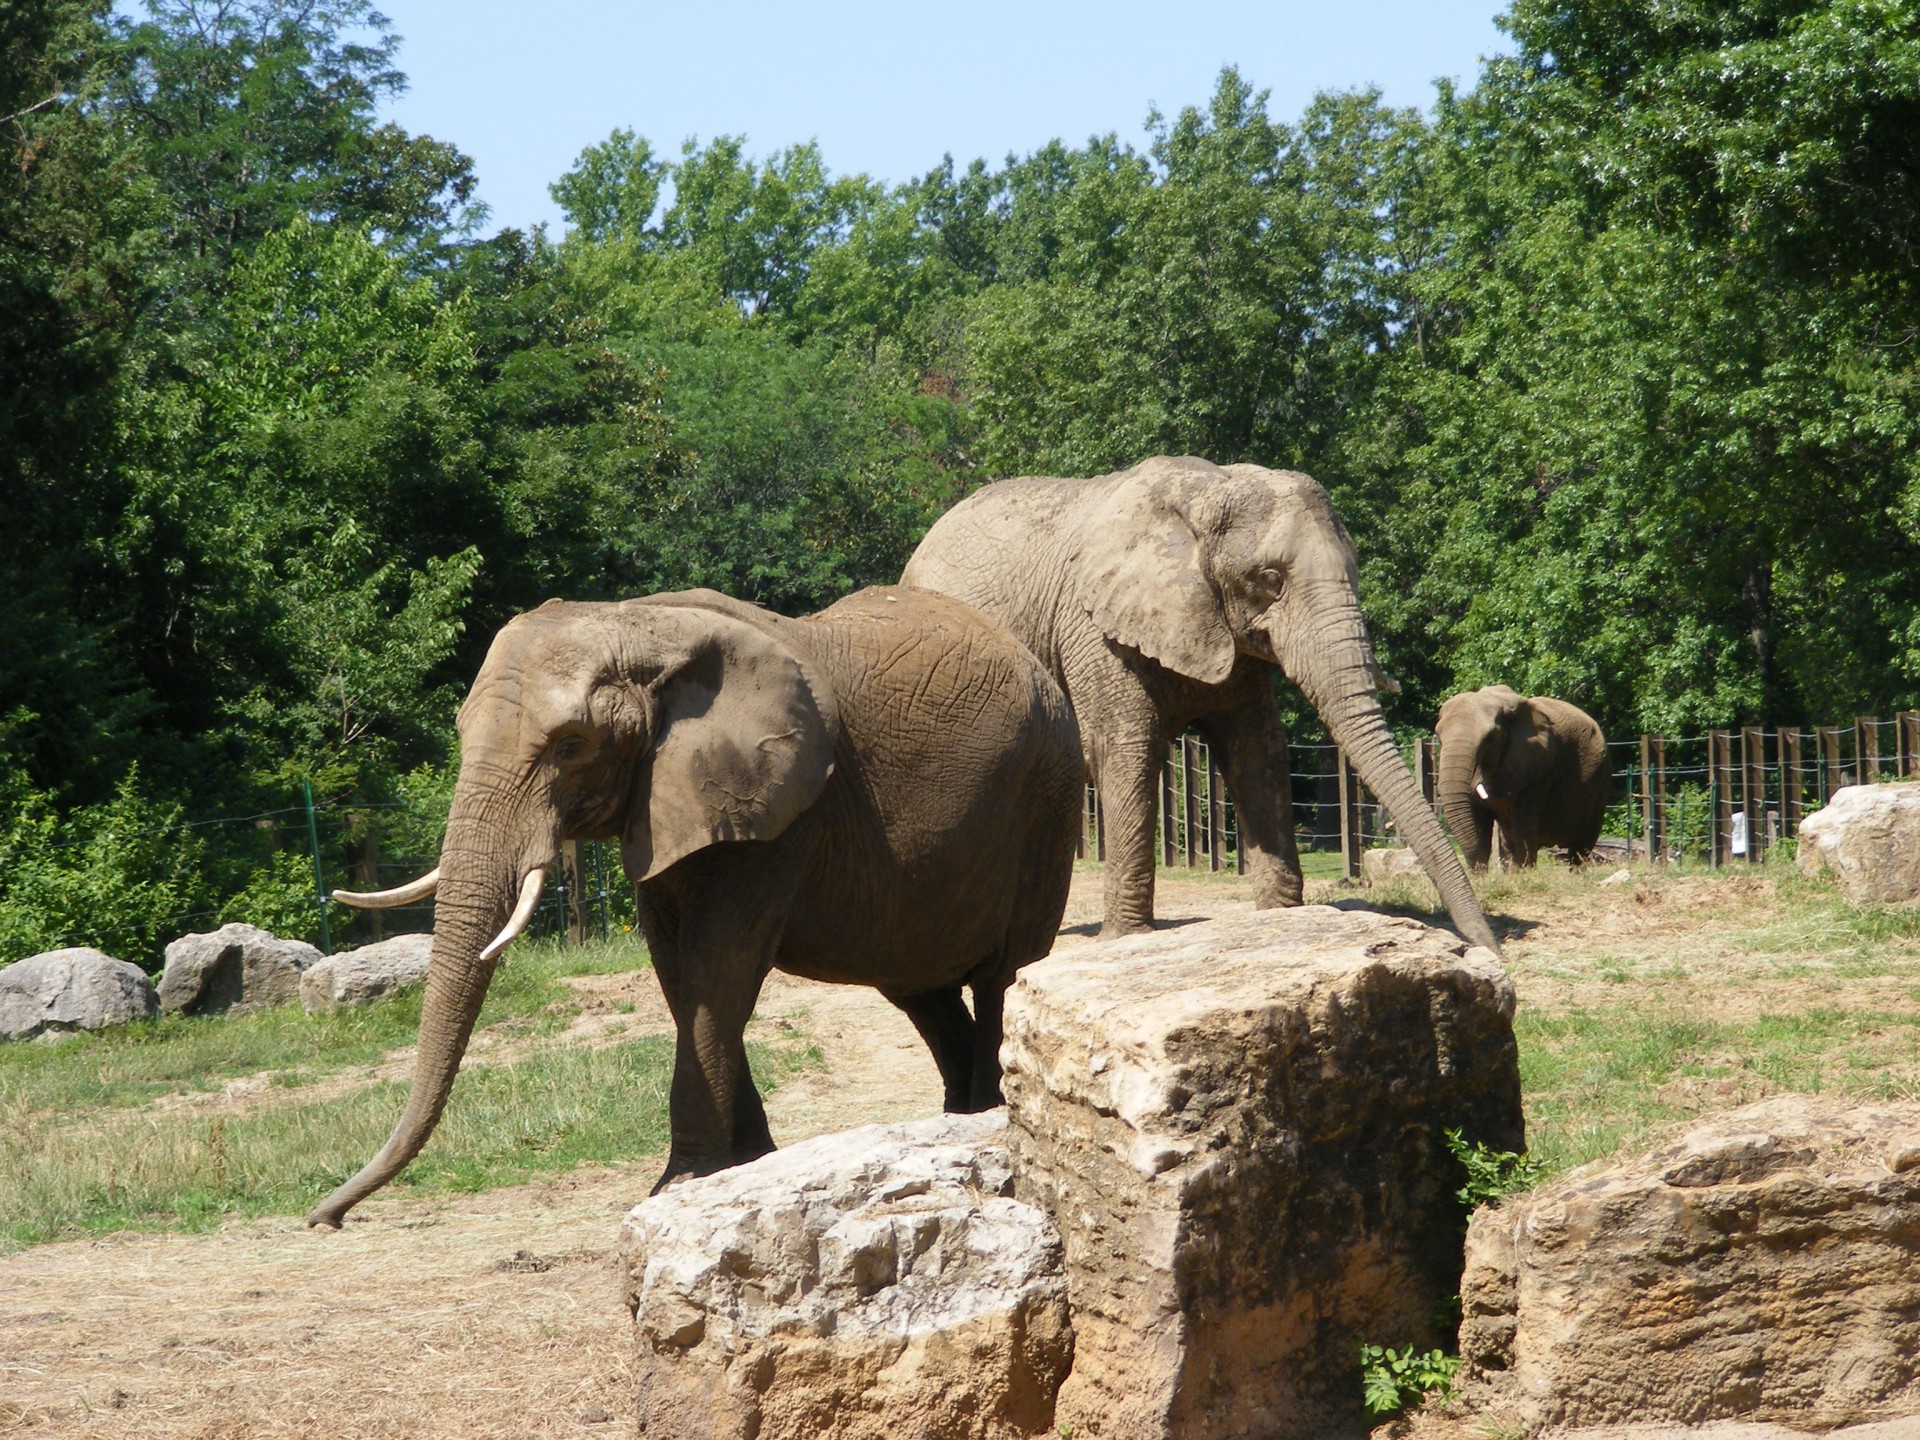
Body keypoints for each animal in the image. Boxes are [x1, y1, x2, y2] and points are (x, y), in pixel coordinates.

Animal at [318, 587, 1098, 1228]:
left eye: (571, 746)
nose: (326, 1217)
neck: (640, 623)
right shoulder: (668, 801)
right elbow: (678, 972)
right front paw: (746, 1166)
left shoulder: (781, 808)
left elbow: (718, 967)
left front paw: (682, 1185)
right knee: (920, 989)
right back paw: (957, 1120)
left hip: (1049, 797)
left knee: (1002, 977)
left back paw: (988, 1115)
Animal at [906, 458, 1505, 960]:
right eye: (1269, 580)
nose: (1486, 951)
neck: (1207, 492)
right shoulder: (1094, 630)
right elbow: (1125, 751)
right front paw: (1128, 939)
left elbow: (1258, 751)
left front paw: (1284, 919)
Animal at [1436, 687, 1612, 867]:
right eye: (1439, 737)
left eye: (1490, 739)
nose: (1478, 872)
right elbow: (1479, 823)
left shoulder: (1538, 769)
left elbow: (1523, 825)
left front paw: (1524, 871)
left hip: (1600, 779)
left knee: (1581, 846)